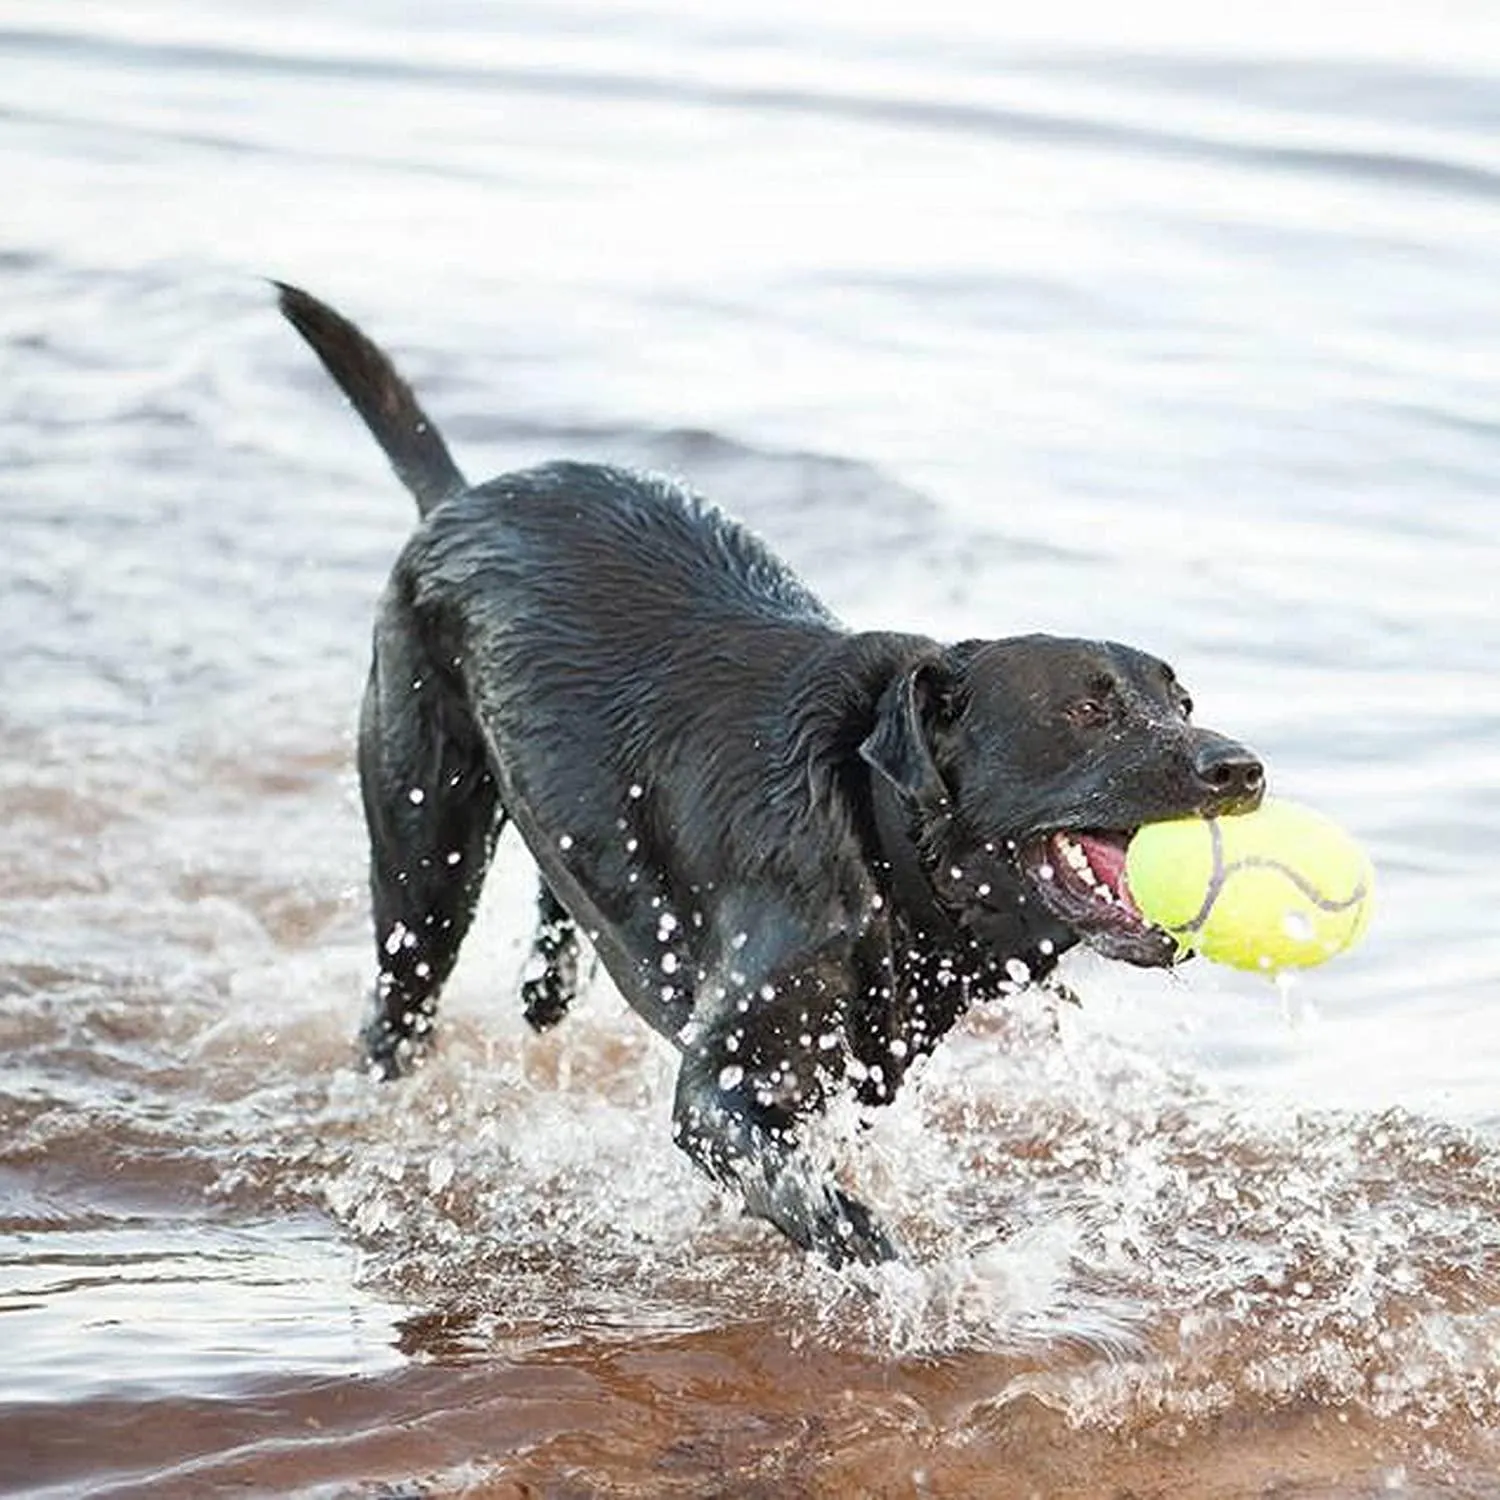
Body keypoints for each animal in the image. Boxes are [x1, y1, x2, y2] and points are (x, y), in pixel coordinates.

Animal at [276, 283, 1260, 1266]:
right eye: (1088, 710)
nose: (1243, 768)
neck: (876, 840)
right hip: (424, 855)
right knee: (398, 1002)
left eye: (1179, 701)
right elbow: (837, 1214)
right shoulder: (721, 1091)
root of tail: (458, 498)